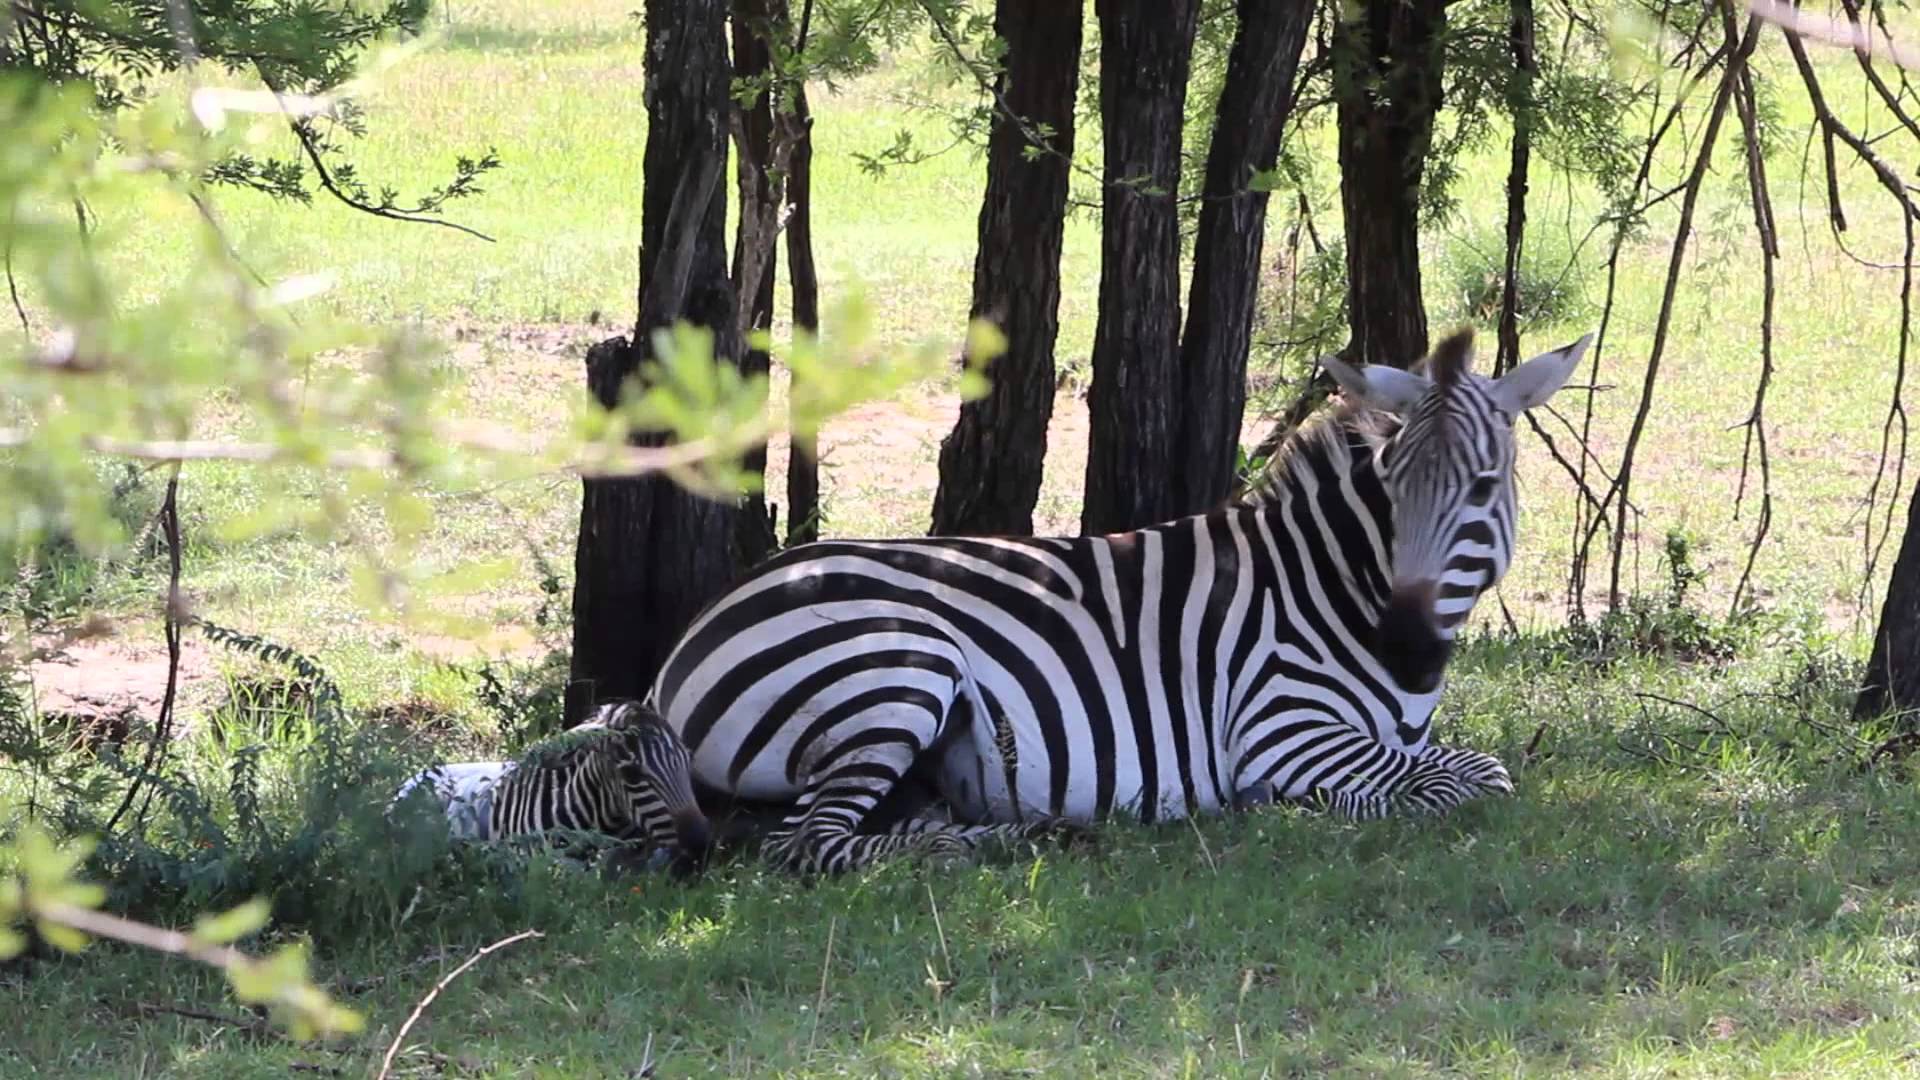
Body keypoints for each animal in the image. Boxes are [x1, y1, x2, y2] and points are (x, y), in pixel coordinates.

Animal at [645, 322, 1589, 868]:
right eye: (1392, 488)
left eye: (1483, 487)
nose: (1407, 646)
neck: (1331, 583)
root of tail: (685, 644)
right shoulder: (1282, 732)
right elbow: (1477, 778)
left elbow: (1467, 767)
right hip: (895, 671)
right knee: (808, 846)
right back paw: (1002, 843)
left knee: (858, 828)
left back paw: (1021, 831)